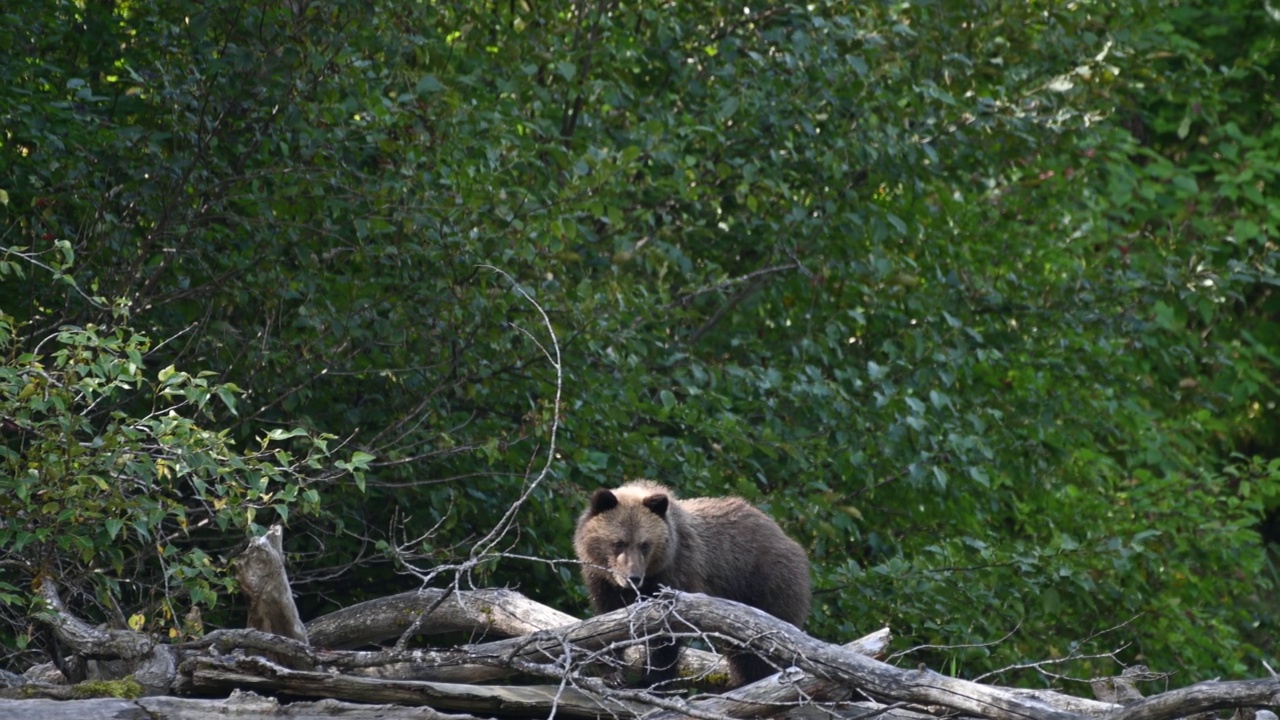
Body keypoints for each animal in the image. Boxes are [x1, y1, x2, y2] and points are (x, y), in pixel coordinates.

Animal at [573, 479, 808, 686]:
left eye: (645, 544)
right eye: (618, 543)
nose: (633, 578)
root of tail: (787, 538)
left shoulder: (675, 577)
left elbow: (664, 639)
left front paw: (653, 681)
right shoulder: (603, 583)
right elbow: (608, 627)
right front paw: (613, 674)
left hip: (764, 588)